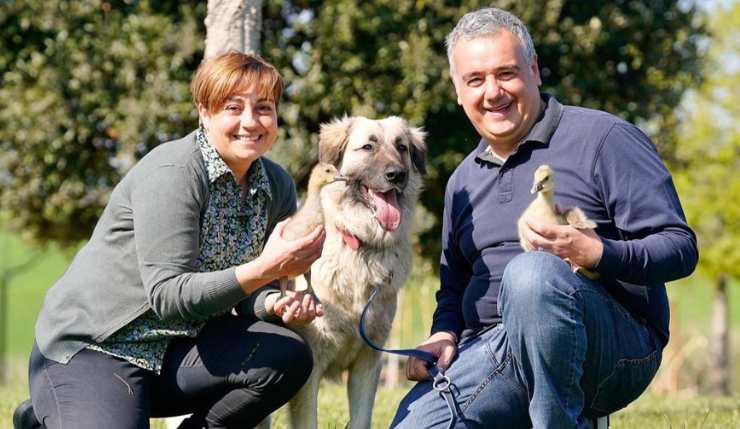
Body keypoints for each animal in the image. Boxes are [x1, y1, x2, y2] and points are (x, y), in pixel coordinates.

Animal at [284, 115, 428, 428]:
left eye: (402, 147)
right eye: (368, 147)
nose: (397, 175)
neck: (361, 245)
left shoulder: (367, 363)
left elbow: (362, 418)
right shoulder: (311, 368)